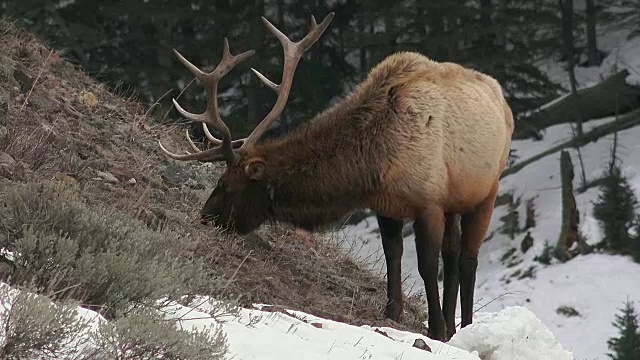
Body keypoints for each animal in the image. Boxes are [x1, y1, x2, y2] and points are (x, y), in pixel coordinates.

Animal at [159, 11, 516, 342]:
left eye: (226, 184)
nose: (205, 216)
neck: (374, 161)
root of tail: (502, 98)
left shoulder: (428, 202)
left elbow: (427, 267)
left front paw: (437, 329)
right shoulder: (387, 206)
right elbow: (393, 256)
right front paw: (393, 312)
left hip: (488, 189)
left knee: (468, 260)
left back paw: (464, 325)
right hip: (455, 198)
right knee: (453, 256)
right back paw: (457, 326)